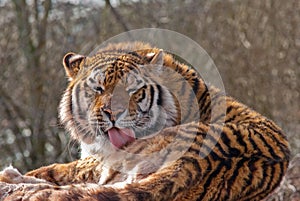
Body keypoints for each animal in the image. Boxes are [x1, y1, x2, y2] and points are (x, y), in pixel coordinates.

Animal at [0, 41, 290, 200]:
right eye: (98, 88)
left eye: (132, 90)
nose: (113, 114)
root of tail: (199, 161)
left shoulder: (101, 158)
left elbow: (60, 169)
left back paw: (12, 175)